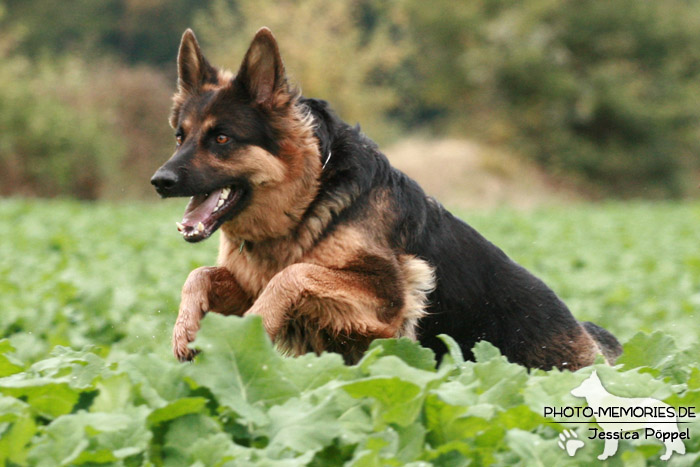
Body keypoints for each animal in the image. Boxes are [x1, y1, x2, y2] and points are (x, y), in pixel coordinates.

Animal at [150, 27, 620, 370]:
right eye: (180, 136)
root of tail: (589, 336)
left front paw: (258, 321)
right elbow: (199, 274)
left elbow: (295, 273)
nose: (159, 181)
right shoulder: (249, 282)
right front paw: (184, 331)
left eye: (222, 138)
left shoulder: (389, 298)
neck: (309, 199)